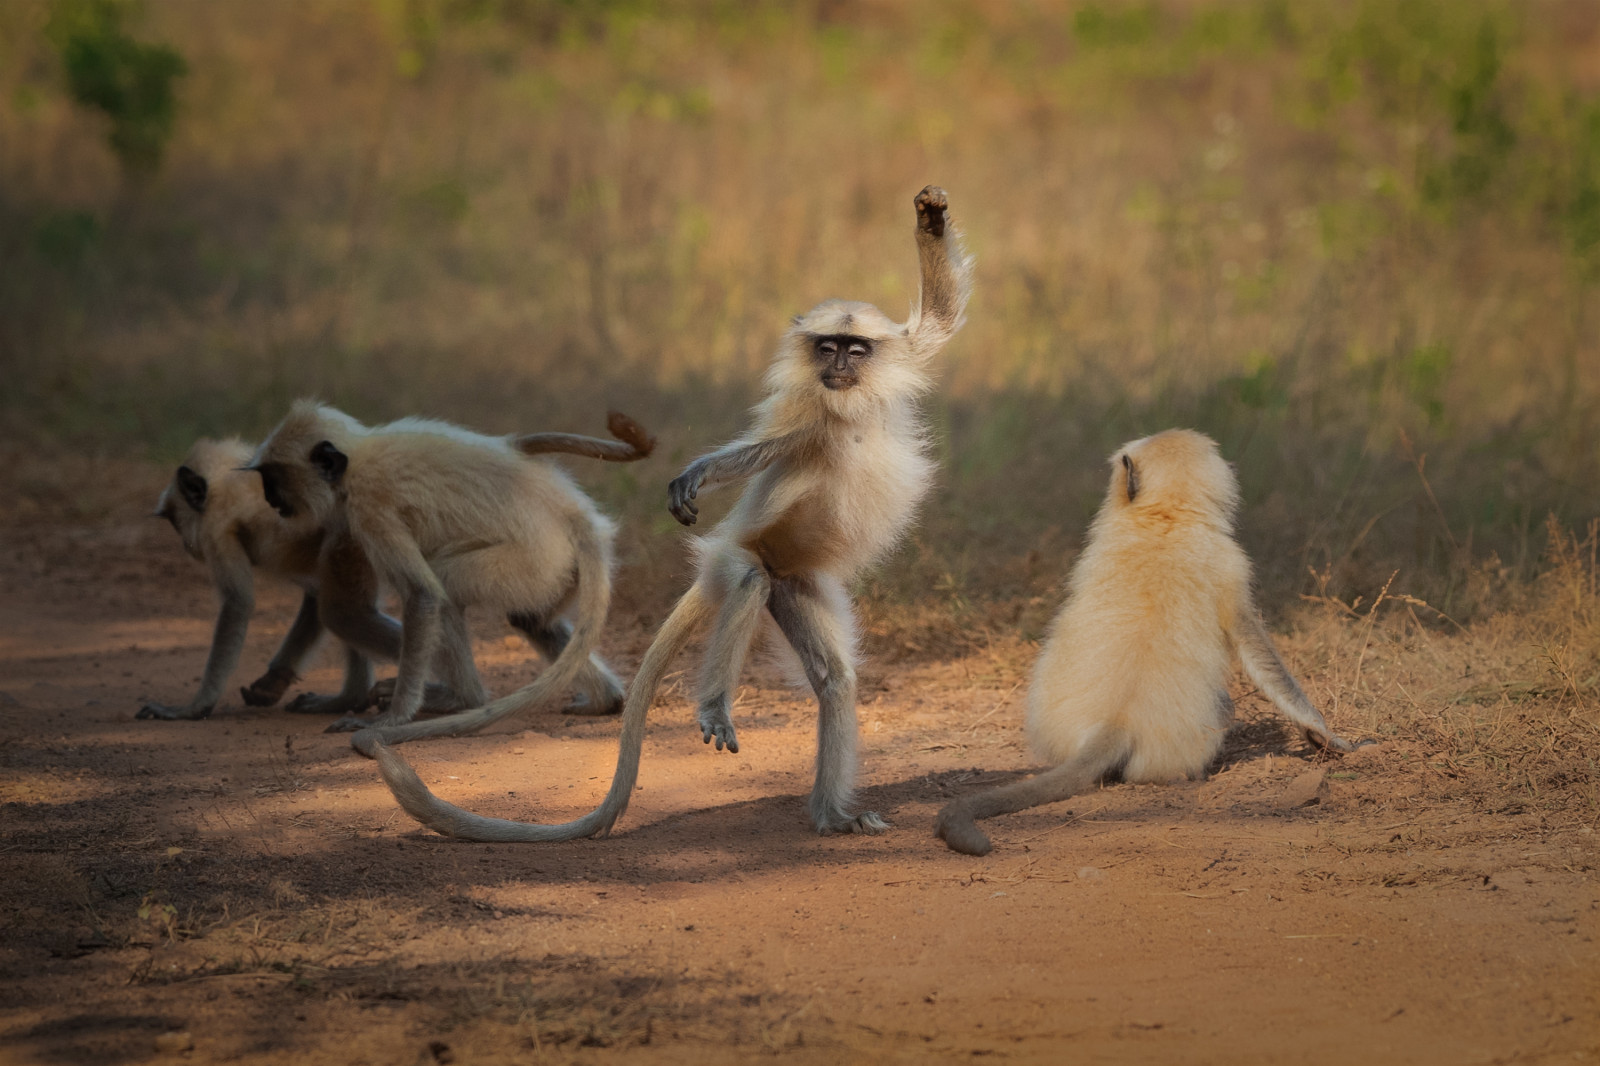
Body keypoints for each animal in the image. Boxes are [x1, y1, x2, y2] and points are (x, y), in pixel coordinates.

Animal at [361, 186, 972, 845]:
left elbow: (937, 323)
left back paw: (831, 816)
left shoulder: (885, 365)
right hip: (742, 558)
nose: (836, 365)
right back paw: (716, 707)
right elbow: (757, 452)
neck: (848, 402)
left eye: (854, 350)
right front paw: (696, 474)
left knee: (835, 679)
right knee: (749, 582)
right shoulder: (805, 413)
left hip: (796, 583)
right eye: (826, 347)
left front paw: (931, 217)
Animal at [934, 428, 1363, 851]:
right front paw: (1326, 734)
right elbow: (1260, 654)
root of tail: (1116, 722)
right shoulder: (1232, 564)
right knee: (1224, 708)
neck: (1166, 518)